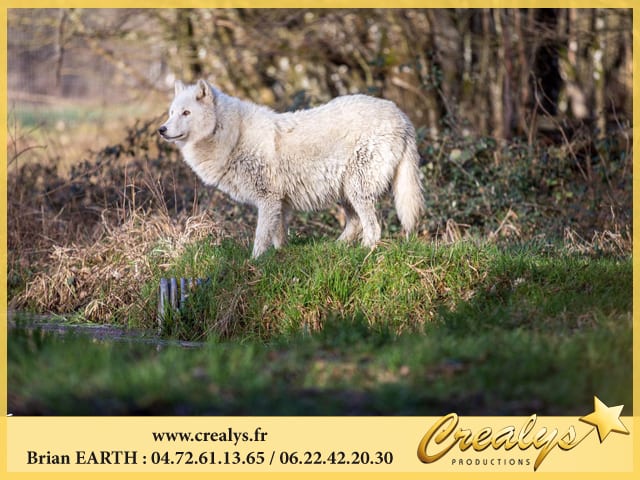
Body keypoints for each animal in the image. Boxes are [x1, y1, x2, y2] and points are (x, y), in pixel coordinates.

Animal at [158, 79, 422, 258]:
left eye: (186, 113)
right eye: (171, 113)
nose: (162, 129)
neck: (232, 135)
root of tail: (402, 116)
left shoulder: (268, 199)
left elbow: (261, 237)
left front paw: (255, 261)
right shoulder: (280, 203)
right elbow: (279, 236)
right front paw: (280, 256)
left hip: (356, 189)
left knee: (374, 228)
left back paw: (363, 253)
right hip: (345, 191)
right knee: (356, 223)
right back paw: (334, 248)